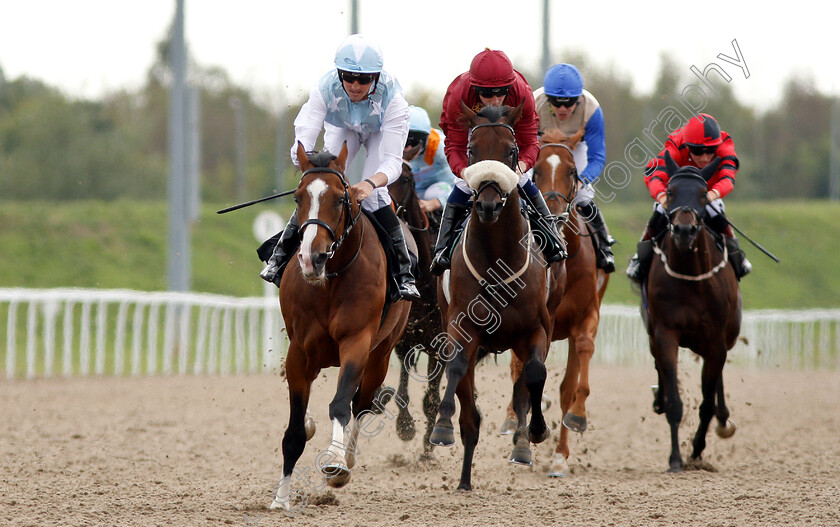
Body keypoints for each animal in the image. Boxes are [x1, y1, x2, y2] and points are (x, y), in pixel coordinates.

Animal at [270, 142, 412, 510]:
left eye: (338, 199)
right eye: (297, 198)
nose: (312, 258)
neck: (330, 280)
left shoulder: (357, 342)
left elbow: (341, 404)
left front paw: (335, 462)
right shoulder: (299, 351)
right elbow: (294, 431)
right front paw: (281, 499)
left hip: (381, 353)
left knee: (360, 405)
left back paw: (346, 460)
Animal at [430, 103, 560, 490]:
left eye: (512, 151)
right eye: (472, 152)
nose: (488, 204)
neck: (497, 259)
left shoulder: (537, 329)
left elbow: (534, 373)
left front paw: (535, 431)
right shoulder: (462, 325)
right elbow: (456, 365)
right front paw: (442, 427)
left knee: (522, 386)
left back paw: (520, 446)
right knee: (470, 411)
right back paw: (464, 479)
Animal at [498, 129, 612, 478]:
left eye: (572, 172)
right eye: (535, 172)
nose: (552, 212)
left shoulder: (586, 317)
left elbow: (571, 385)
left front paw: (569, 437)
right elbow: (524, 373)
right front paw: (519, 428)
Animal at [644, 154, 740, 474]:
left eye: (702, 194)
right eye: (671, 192)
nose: (684, 230)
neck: (690, 277)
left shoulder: (716, 341)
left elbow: (707, 403)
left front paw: (697, 449)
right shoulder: (665, 335)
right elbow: (675, 403)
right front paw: (675, 458)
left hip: (724, 337)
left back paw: (723, 420)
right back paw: (659, 397)